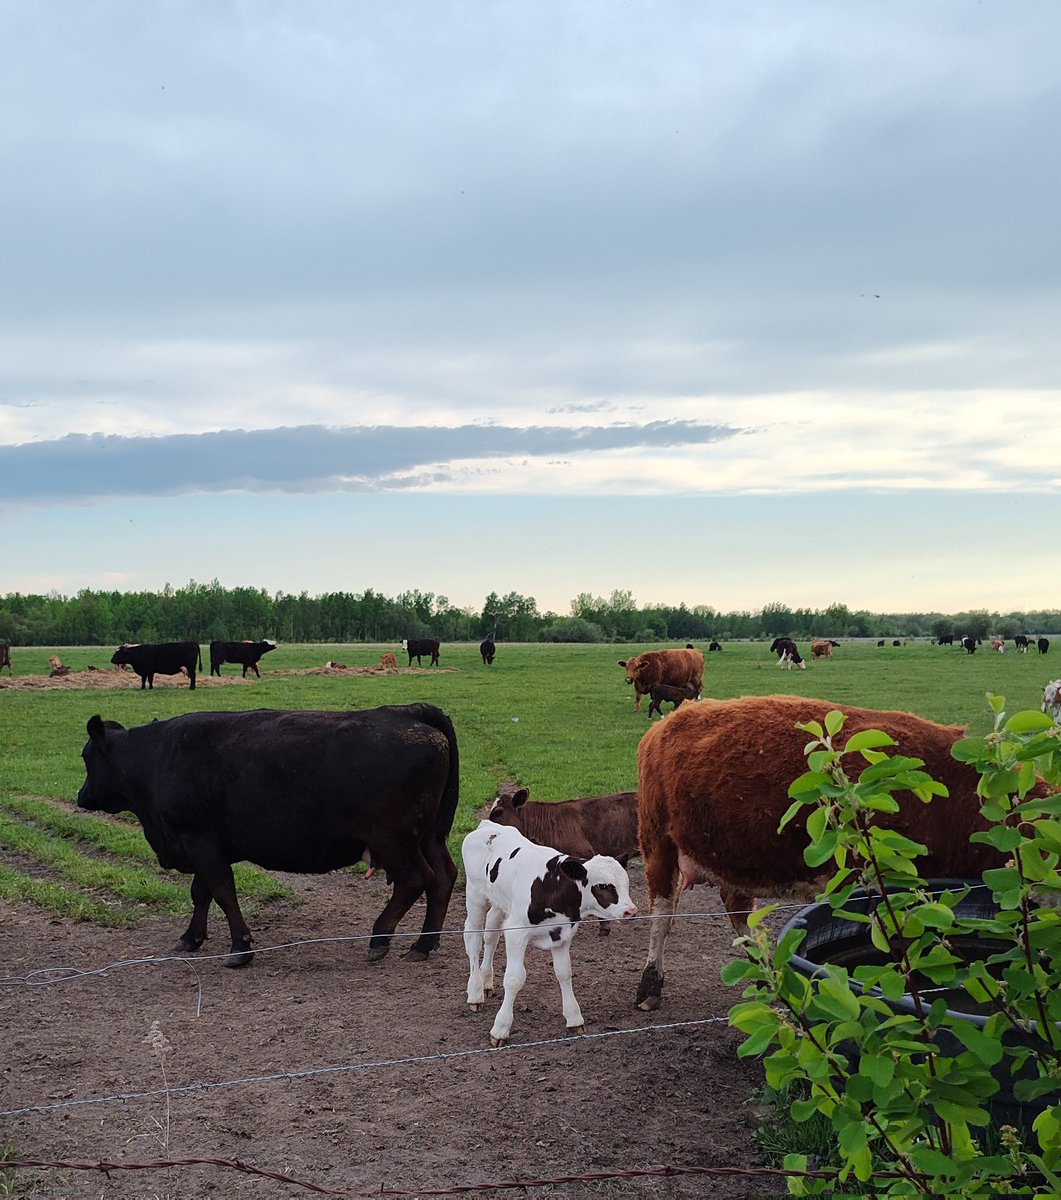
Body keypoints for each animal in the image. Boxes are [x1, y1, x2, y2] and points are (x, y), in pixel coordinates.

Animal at [77, 703, 460, 967]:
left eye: (86, 758)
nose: (81, 796)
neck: (157, 756)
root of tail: (406, 711)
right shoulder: (205, 843)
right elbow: (201, 892)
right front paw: (192, 937)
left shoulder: (198, 838)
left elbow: (221, 891)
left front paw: (240, 948)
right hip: (429, 837)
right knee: (442, 877)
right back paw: (424, 943)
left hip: (393, 840)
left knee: (415, 879)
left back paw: (380, 937)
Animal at [462, 820, 636, 1045]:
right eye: (604, 886)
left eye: (626, 884)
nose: (631, 911)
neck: (552, 885)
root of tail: (488, 825)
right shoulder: (517, 931)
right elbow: (514, 978)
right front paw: (500, 1028)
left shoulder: (561, 933)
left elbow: (564, 972)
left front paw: (574, 1017)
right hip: (475, 895)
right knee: (473, 938)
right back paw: (475, 992)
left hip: (500, 903)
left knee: (491, 934)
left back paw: (486, 981)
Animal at [633, 694, 1054, 1011]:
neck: (956, 795)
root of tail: (671, 720)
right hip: (657, 843)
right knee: (662, 916)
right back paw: (651, 985)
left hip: (733, 856)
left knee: (739, 913)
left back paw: (772, 975)